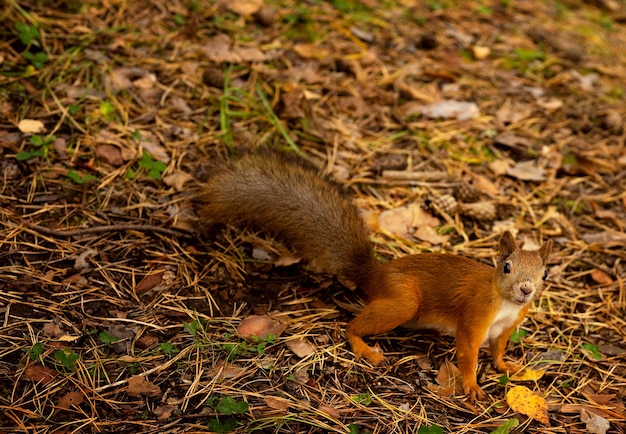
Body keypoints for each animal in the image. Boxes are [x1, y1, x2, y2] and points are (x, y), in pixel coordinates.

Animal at [196, 152, 552, 400]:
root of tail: (373, 274)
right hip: (403, 301)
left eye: (545, 273)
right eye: (506, 267)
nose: (525, 290)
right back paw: (365, 348)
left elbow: (499, 349)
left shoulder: (506, 326)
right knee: (351, 327)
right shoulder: (474, 317)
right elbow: (467, 352)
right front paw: (471, 384)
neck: (504, 302)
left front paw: (507, 366)